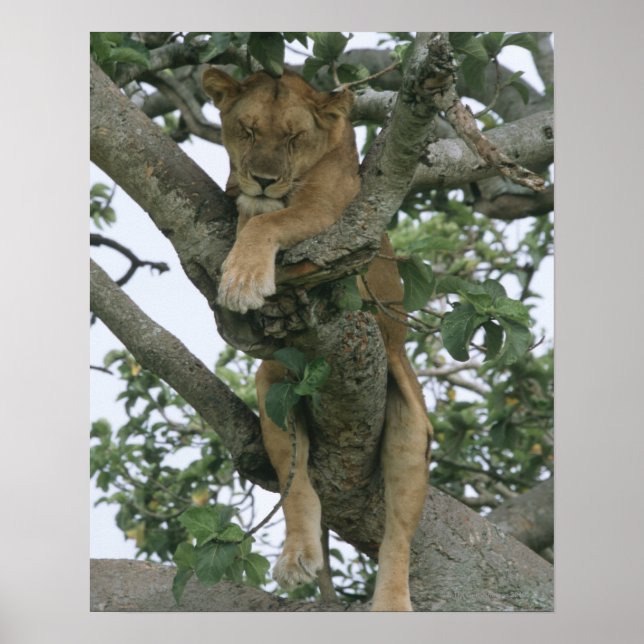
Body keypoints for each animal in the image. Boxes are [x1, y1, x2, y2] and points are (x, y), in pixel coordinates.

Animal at [203, 67, 432, 611]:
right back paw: (298, 557)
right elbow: (253, 213)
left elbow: (270, 219)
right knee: (298, 481)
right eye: (247, 130)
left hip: (410, 425)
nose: (264, 179)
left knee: (398, 534)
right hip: (273, 388)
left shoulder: (333, 210)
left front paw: (243, 279)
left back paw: (391, 601)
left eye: (293, 137)